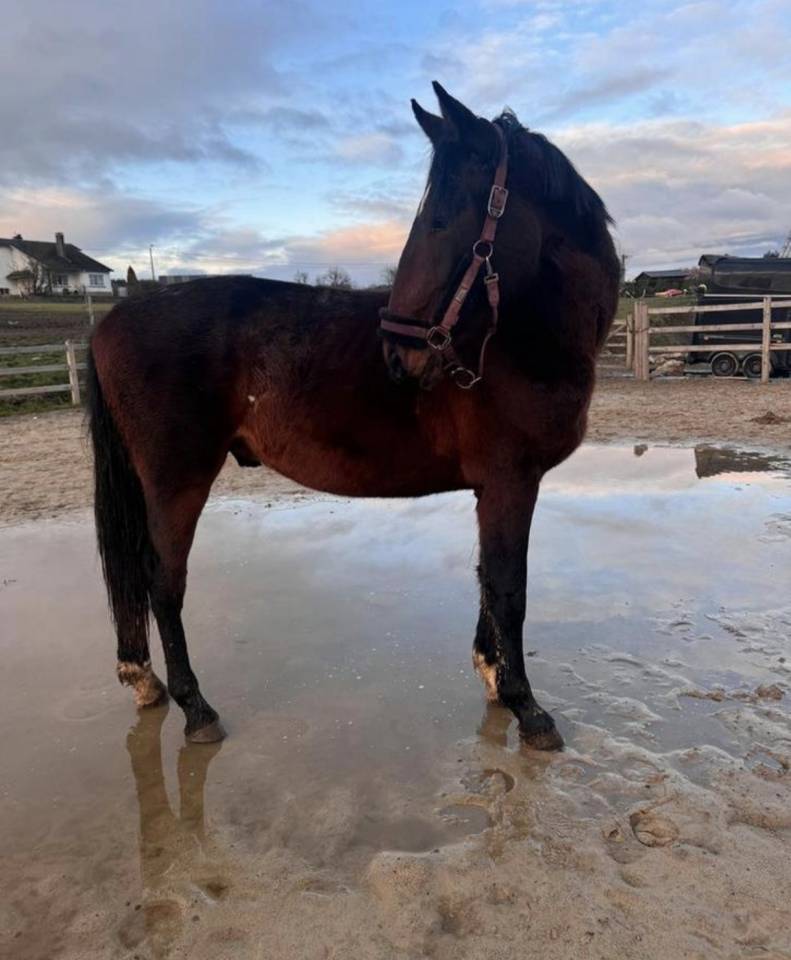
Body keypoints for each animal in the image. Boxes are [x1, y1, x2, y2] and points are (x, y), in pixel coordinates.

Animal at [87, 82, 619, 750]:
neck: (518, 338)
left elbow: (485, 579)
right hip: (175, 479)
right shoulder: (511, 482)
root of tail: (113, 318)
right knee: (163, 584)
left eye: (440, 219)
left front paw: (494, 678)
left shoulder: (493, 489)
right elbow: (508, 589)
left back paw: (145, 680)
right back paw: (196, 708)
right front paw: (528, 707)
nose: (398, 355)